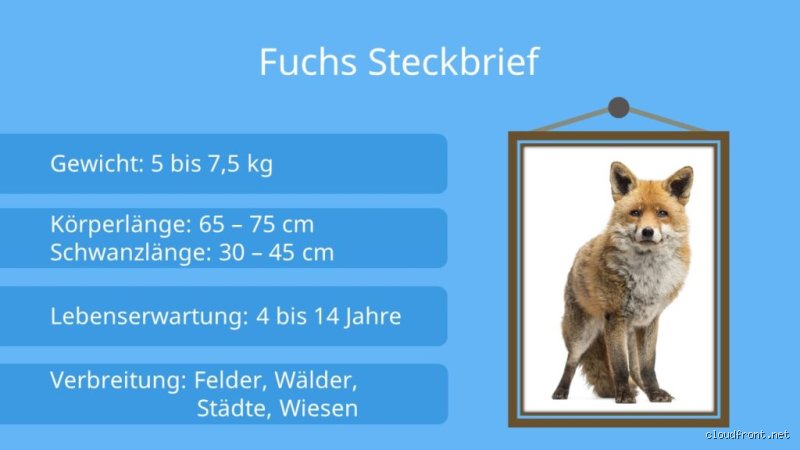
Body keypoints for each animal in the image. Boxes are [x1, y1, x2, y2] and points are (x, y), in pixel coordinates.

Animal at [551, 161, 693, 403]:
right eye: (635, 213)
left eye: (662, 213)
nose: (648, 231)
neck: (647, 277)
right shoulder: (615, 317)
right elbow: (619, 366)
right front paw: (624, 394)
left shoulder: (649, 321)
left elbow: (647, 367)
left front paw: (655, 393)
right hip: (583, 333)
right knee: (571, 360)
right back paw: (561, 391)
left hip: (630, 334)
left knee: (635, 371)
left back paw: (648, 391)